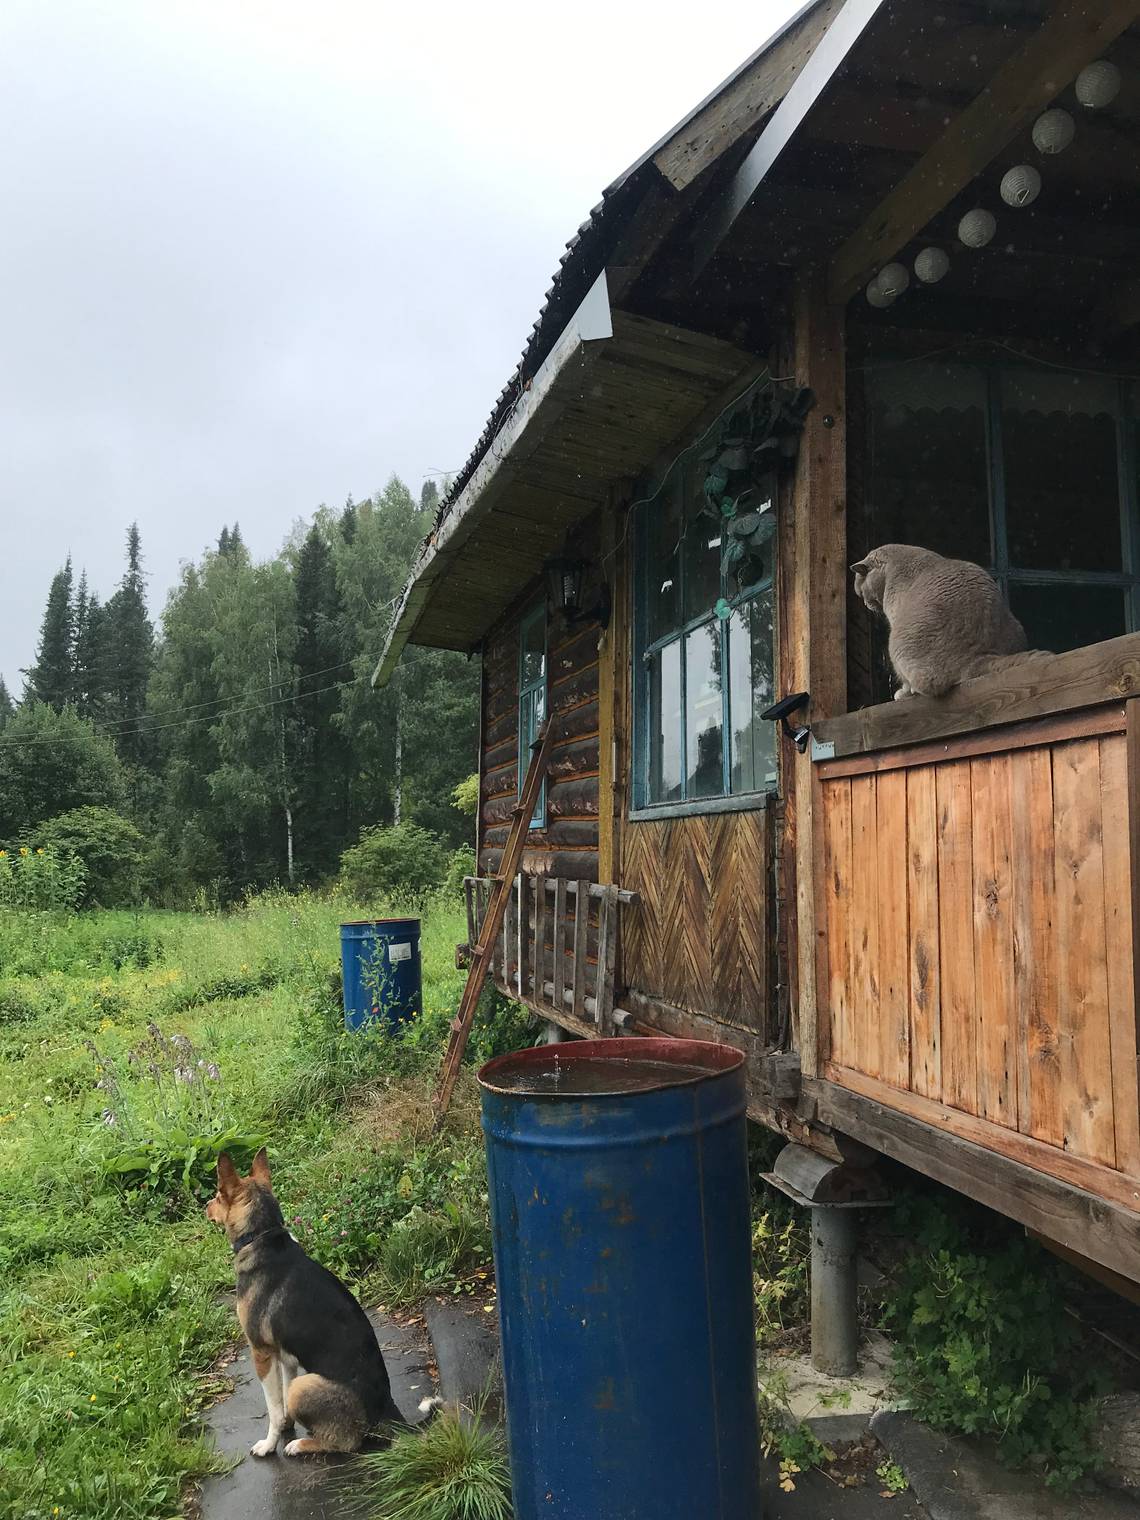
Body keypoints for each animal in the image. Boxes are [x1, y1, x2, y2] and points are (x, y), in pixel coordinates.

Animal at [206, 1143, 401, 1453]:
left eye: (216, 1194)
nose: (205, 1208)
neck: (262, 1236)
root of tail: (386, 1410)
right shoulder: (287, 1357)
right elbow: (283, 1405)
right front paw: (286, 1425)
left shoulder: (262, 1353)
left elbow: (274, 1407)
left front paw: (269, 1444)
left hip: (305, 1387)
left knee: (346, 1442)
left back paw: (299, 1445)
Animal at [851, 547, 1033, 699]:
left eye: (861, 592)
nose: (866, 604)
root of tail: (978, 656)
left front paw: (903, 691)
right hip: (1015, 626)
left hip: (896, 643)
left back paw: (906, 693)